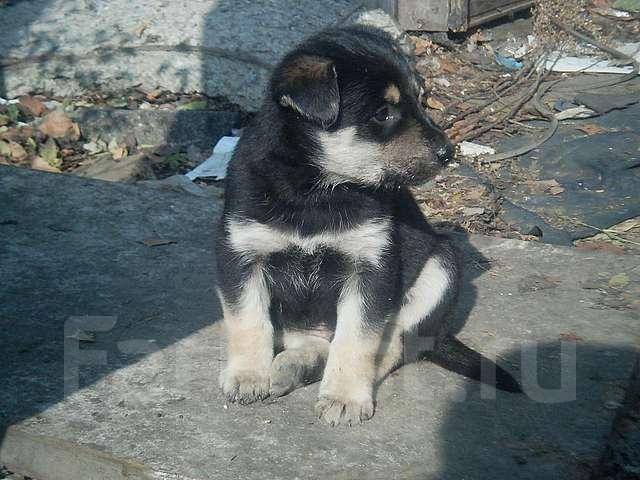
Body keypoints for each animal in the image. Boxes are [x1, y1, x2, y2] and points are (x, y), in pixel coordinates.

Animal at [215, 24, 520, 426]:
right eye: (382, 113)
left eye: (420, 98)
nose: (448, 152)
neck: (315, 189)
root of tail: (440, 335)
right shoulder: (241, 253)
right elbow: (247, 319)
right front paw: (248, 376)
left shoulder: (371, 265)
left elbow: (357, 337)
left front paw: (344, 397)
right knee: (318, 343)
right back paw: (288, 369)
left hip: (441, 265)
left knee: (393, 346)